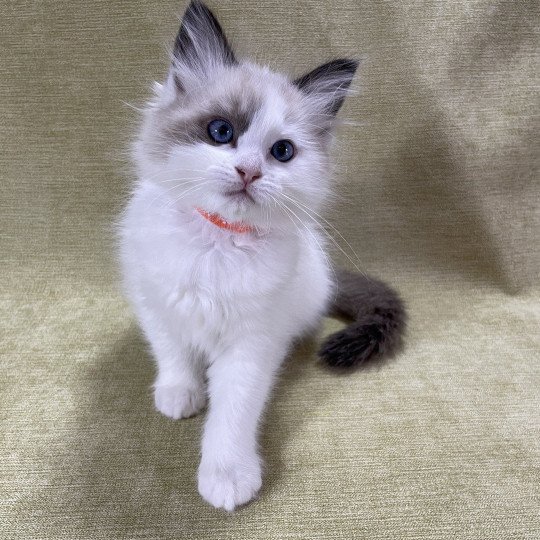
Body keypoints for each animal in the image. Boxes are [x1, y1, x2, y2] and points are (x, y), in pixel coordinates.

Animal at [118, 1, 404, 510]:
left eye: (281, 152)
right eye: (221, 131)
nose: (249, 171)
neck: (216, 244)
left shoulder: (252, 343)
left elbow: (232, 415)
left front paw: (227, 477)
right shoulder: (157, 301)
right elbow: (173, 354)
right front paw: (178, 396)